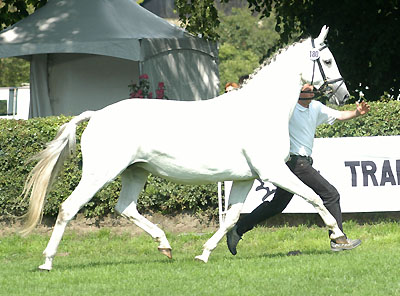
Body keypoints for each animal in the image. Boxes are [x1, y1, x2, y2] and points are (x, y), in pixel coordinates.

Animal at [20, 26, 348, 270]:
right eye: (327, 61)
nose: (343, 95)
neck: (260, 110)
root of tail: (96, 115)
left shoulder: (245, 178)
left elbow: (231, 218)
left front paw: (204, 253)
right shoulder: (274, 171)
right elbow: (314, 197)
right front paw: (339, 236)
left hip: (135, 172)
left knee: (125, 207)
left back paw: (165, 246)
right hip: (100, 173)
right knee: (68, 208)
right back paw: (47, 261)